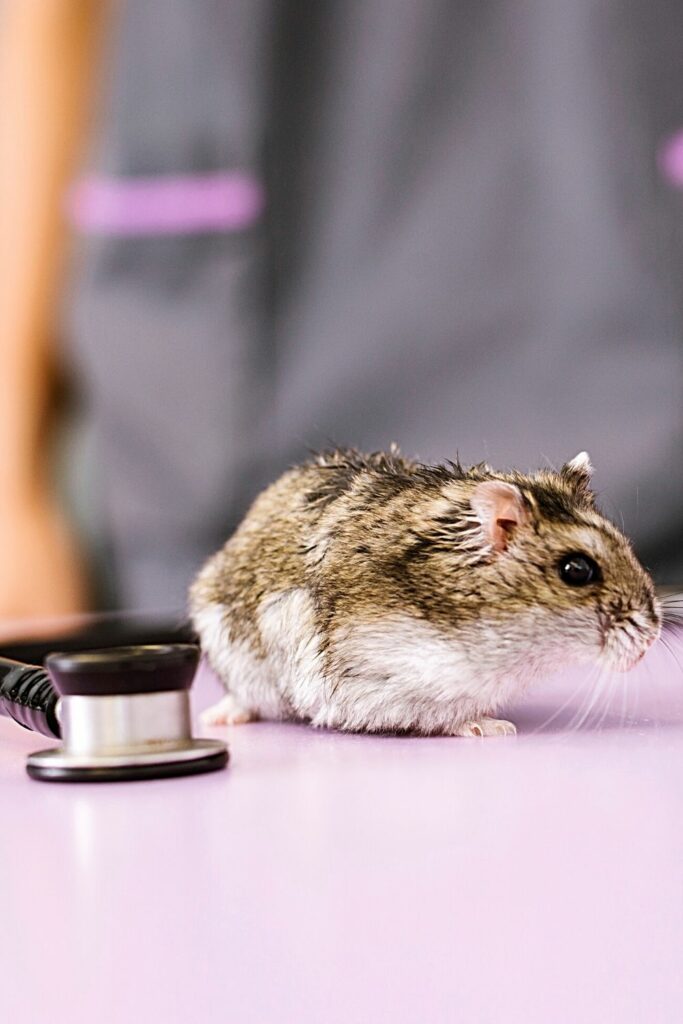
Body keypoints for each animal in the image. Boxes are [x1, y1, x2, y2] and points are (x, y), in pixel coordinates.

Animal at [189, 448, 661, 736]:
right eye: (577, 570)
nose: (653, 636)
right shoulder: (386, 677)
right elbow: (441, 716)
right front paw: (494, 728)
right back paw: (217, 718)